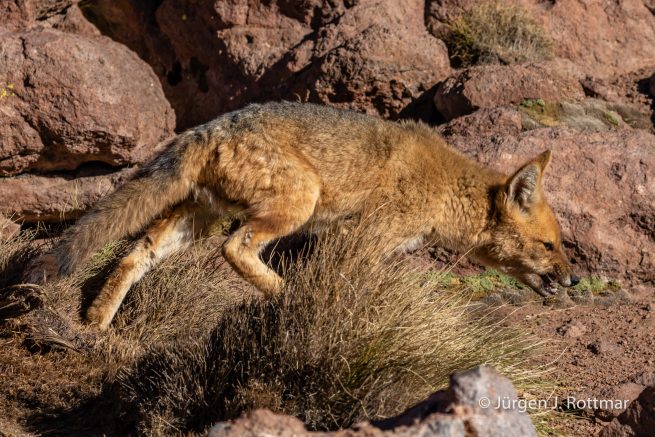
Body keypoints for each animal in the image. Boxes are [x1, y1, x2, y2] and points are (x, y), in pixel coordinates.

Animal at [26, 101, 578, 330]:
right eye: (549, 246)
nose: (573, 281)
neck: (445, 189)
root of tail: (207, 127)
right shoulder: (361, 240)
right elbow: (348, 286)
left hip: (197, 218)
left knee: (133, 253)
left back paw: (96, 324)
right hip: (296, 202)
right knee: (236, 247)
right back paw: (286, 295)